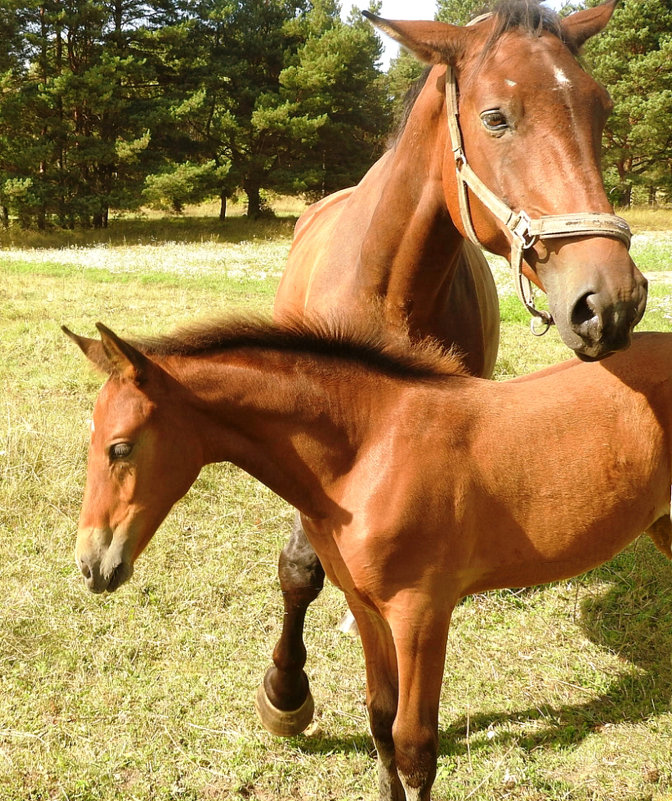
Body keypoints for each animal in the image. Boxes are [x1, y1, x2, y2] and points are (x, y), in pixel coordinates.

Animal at [61, 316, 668, 796]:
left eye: (120, 447)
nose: (93, 565)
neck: (371, 449)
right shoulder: (367, 607)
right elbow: (380, 721)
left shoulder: (421, 615)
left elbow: (414, 747)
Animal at [270, 0, 652, 744]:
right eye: (496, 117)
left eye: (601, 109)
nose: (611, 302)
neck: (386, 290)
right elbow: (301, 568)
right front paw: (286, 692)